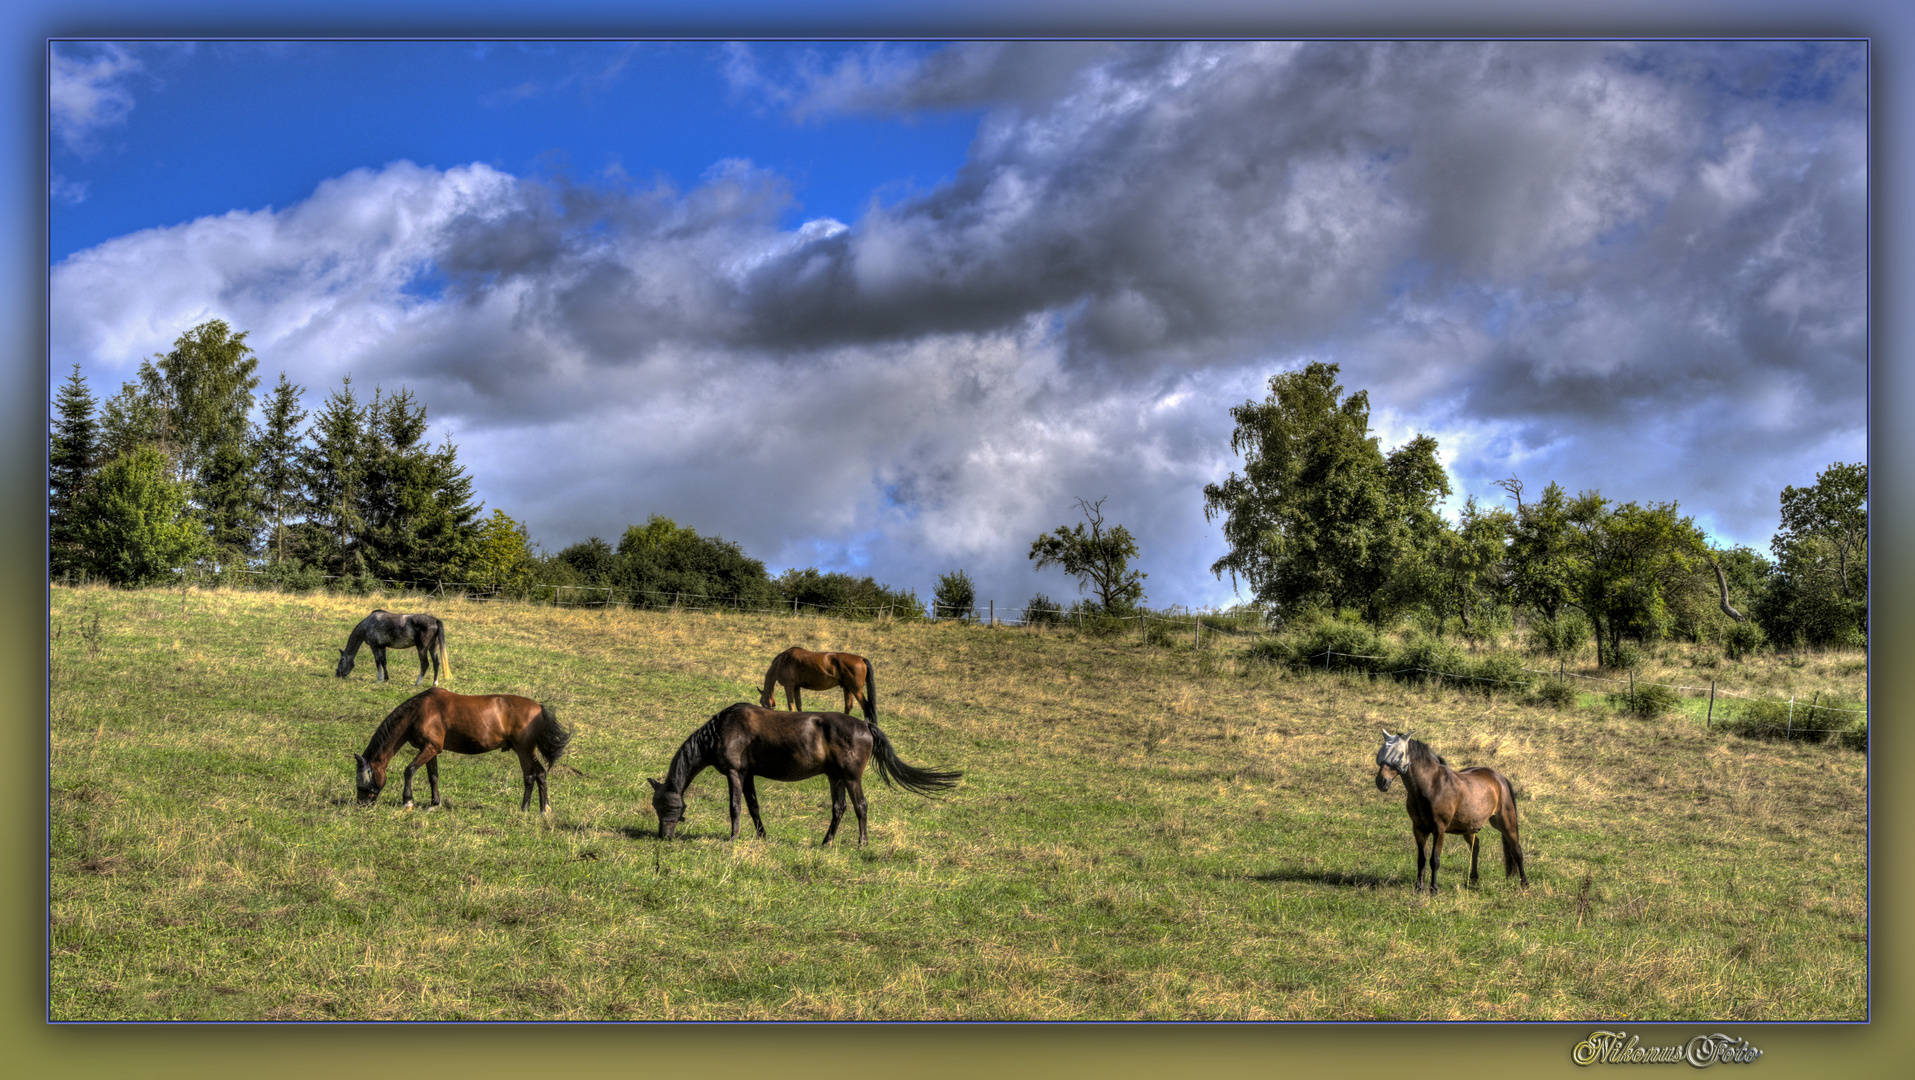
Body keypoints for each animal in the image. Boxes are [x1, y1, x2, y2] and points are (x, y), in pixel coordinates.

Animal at [354, 693, 566, 811]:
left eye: (364, 782)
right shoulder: (431, 749)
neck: (420, 710)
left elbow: (409, 770)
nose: (361, 805)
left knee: (529, 777)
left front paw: (408, 801)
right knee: (541, 774)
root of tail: (539, 708)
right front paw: (435, 804)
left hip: (523, 751)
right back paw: (544, 809)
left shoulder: (431, 747)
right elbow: (433, 777)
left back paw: (524, 808)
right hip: (528, 751)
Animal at [651, 704, 965, 846]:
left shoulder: (735, 773)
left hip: (851, 778)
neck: (723, 728)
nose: (663, 836)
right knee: (839, 809)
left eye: (666, 807)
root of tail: (866, 725)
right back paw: (826, 843)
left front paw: (733, 837)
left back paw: (862, 843)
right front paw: (762, 836)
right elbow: (753, 807)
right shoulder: (749, 775)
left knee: (860, 806)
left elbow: (735, 807)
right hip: (835, 777)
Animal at [1371, 731, 1532, 888]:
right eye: (1382, 752)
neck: (1432, 786)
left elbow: (1434, 860)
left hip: (1506, 823)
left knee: (1517, 850)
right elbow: (1421, 859)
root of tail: (1499, 777)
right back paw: (1473, 879)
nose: (1381, 781)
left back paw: (1524, 883)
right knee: (1476, 846)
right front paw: (1418, 888)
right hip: (1469, 827)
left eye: (1399, 754)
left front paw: (1434, 889)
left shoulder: (1439, 829)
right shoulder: (1418, 829)